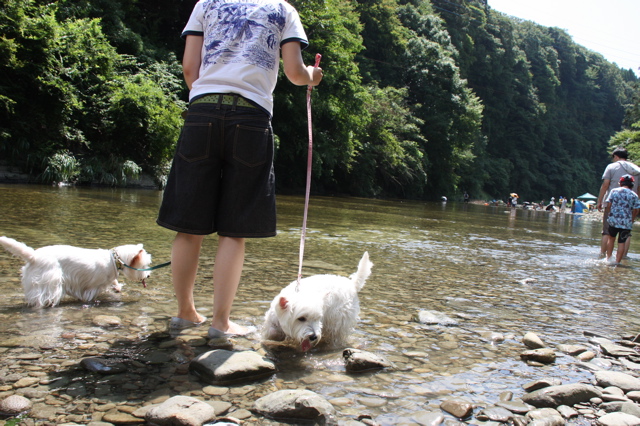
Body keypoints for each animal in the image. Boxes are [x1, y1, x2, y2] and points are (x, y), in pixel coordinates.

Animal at [0, 235, 151, 308]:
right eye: (145, 265)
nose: (148, 275)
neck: (115, 259)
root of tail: (33, 256)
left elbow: (114, 282)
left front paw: (117, 287)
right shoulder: (91, 285)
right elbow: (89, 295)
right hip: (50, 281)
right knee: (42, 298)